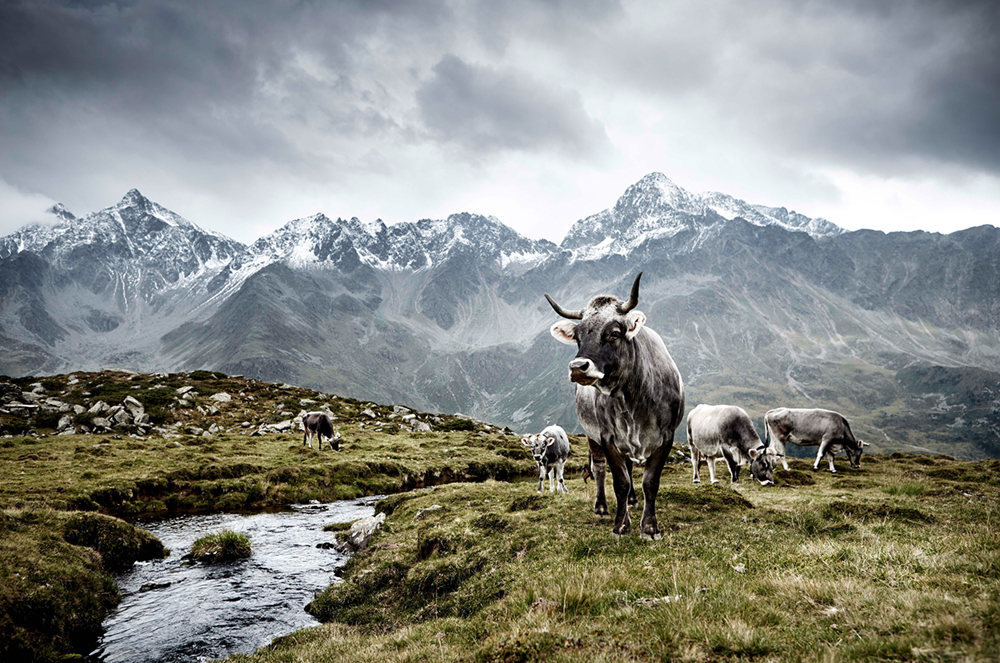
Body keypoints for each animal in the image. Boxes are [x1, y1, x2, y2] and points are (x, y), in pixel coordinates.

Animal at [544, 274, 684, 540]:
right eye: (578, 336)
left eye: (615, 333)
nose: (578, 367)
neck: (634, 400)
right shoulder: (607, 436)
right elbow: (620, 481)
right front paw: (621, 526)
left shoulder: (667, 436)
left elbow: (650, 482)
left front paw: (650, 527)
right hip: (592, 435)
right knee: (599, 468)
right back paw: (601, 506)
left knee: (629, 467)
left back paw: (632, 500)